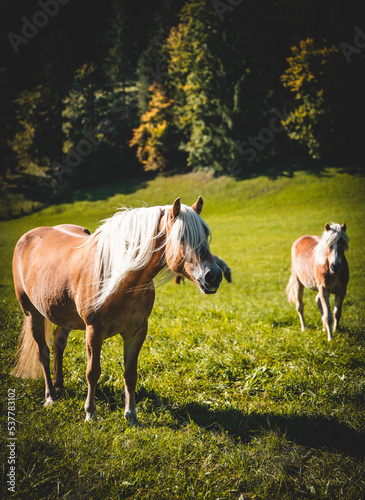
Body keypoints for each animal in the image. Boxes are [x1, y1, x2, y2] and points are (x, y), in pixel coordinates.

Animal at [12, 197, 222, 424]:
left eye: (205, 235)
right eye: (182, 237)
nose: (213, 275)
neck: (120, 278)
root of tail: (27, 236)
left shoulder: (136, 332)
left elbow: (130, 374)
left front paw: (131, 416)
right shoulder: (94, 331)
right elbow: (93, 372)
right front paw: (90, 413)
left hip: (62, 315)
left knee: (59, 344)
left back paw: (59, 385)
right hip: (32, 314)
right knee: (43, 353)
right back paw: (50, 396)